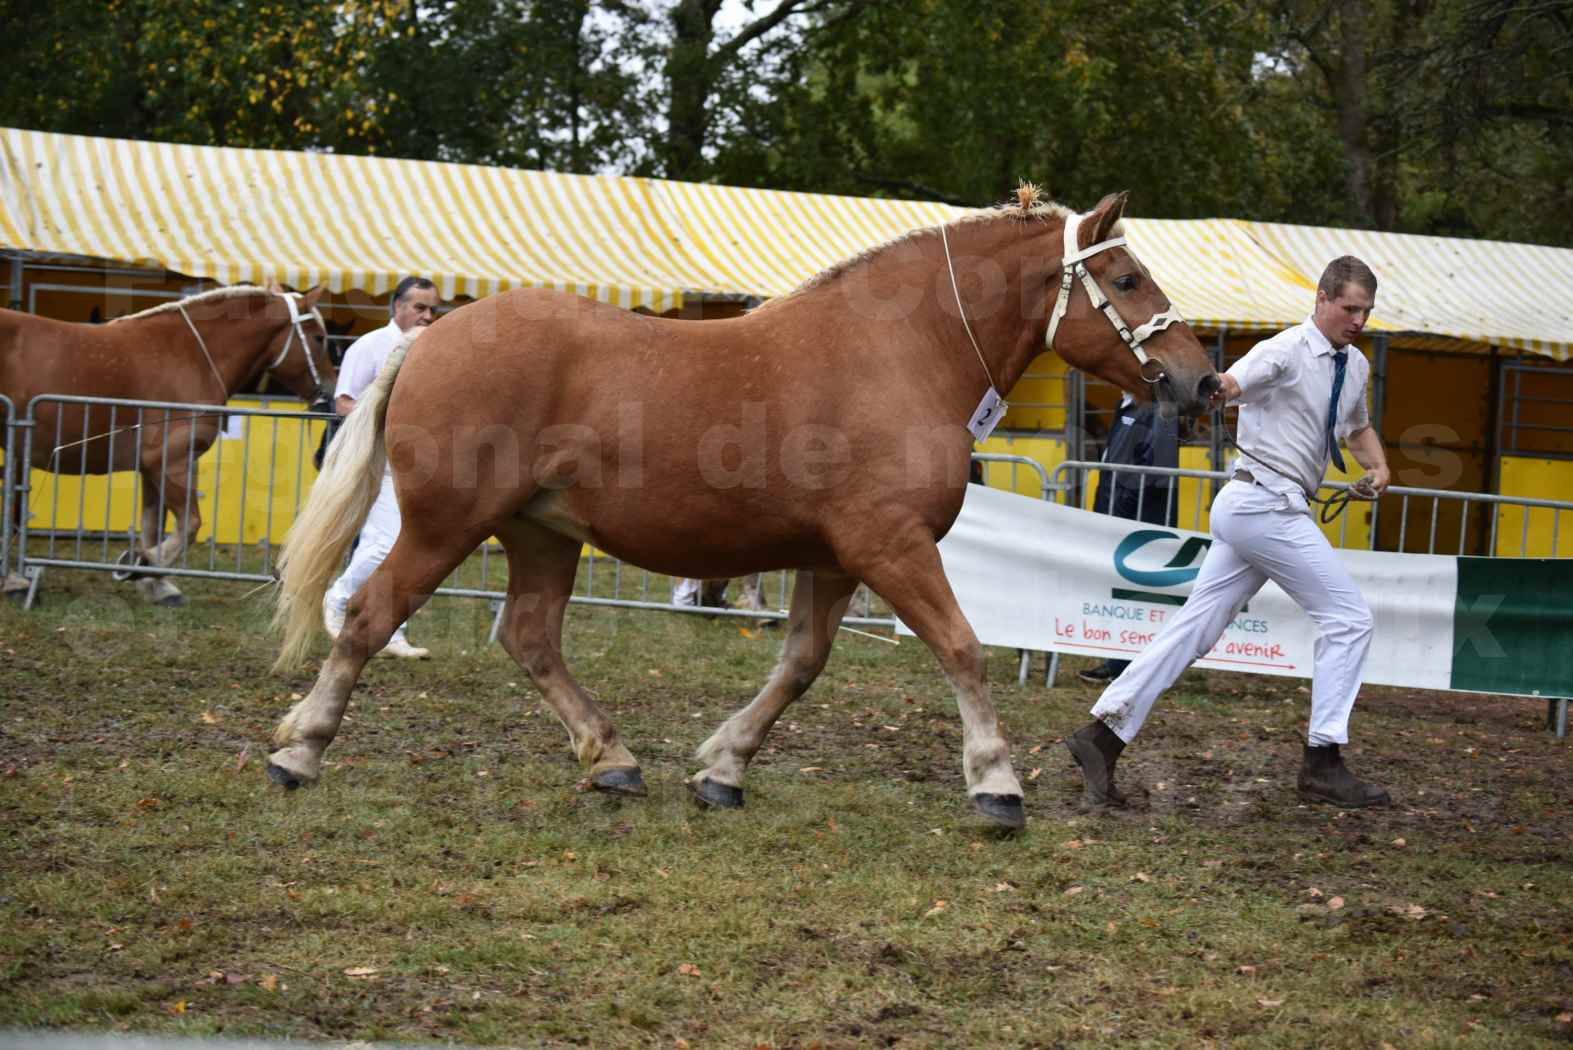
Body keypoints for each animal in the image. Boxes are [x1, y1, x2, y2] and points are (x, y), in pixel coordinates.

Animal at [1, 284, 335, 606]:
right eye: (319, 338)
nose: (330, 394)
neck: (192, 356)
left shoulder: (151, 469)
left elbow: (153, 525)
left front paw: (155, 584)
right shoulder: (170, 462)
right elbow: (189, 525)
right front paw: (142, 565)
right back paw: (14, 583)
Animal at [267, 188, 1214, 829]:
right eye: (1126, 277)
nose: (1201, 379)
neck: (901, 353)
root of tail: (431, 337)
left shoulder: (834, 559)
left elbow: (799, 665)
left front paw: (723, 767)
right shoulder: (891, 548)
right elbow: (961, 648)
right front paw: (995, 783)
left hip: (541, 533)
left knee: (529, 637)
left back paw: (612, 757)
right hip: (444, 525)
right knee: (369, 615)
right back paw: (299, 749)